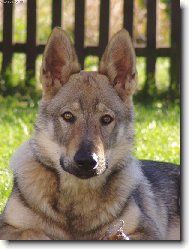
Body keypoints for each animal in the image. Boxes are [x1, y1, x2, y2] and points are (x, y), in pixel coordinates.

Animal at [0, 26, 180, 239]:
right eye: (68, 116)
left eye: (106, 119)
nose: (87, 161)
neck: (77, 196)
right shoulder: (8, 226)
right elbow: (33, 232)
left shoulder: (146, 231)